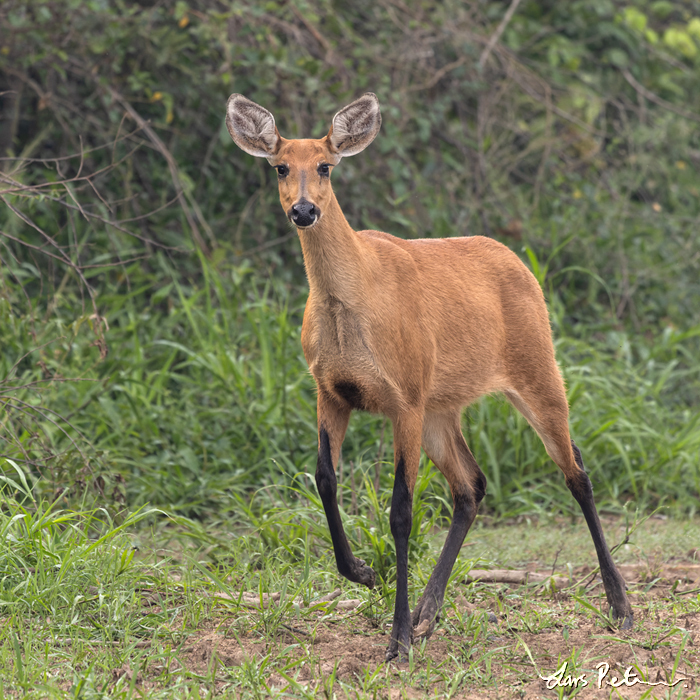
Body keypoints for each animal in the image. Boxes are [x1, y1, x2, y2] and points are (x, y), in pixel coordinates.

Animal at [225, 92, 633, 662]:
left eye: (325, 166)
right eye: (280, 166)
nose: (303, 210)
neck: (350, 307)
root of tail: (522, 265)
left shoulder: (406, 397)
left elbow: (401, 510)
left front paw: (395, 640)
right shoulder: (331, 390)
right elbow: (324, 478)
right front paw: (364, 574)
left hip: (537, 370)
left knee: (576, 471)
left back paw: (620, 606)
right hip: (444, 408)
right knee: (472, 485)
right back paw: (427, 613)